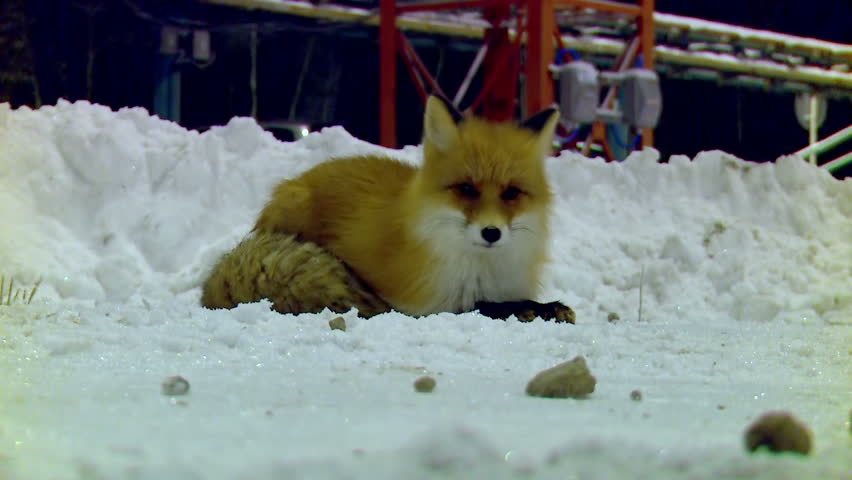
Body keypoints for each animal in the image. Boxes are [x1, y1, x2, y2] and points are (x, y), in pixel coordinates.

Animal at [229, 95, 573, 323]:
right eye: (466, 189)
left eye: (511, 193)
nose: (491, 233)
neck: (480, 269)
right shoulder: (427, 304)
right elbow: (484, 306)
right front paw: (529, 308)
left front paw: (546, 306)